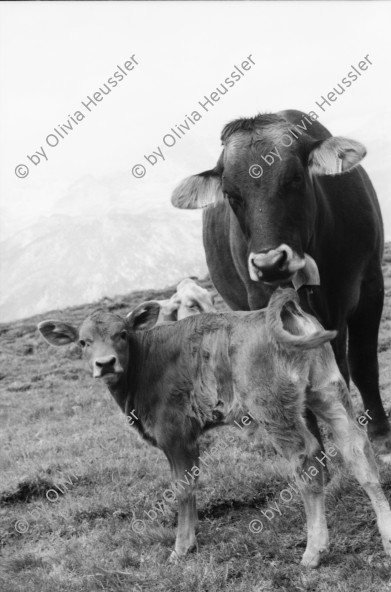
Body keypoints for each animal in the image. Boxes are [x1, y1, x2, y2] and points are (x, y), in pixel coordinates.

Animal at [173, 110, 390, 454]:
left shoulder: (370, 284)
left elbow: (364, 363)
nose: (270, 263)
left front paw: (380, 436)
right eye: (230, 195)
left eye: (295, 178)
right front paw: (313, 453)